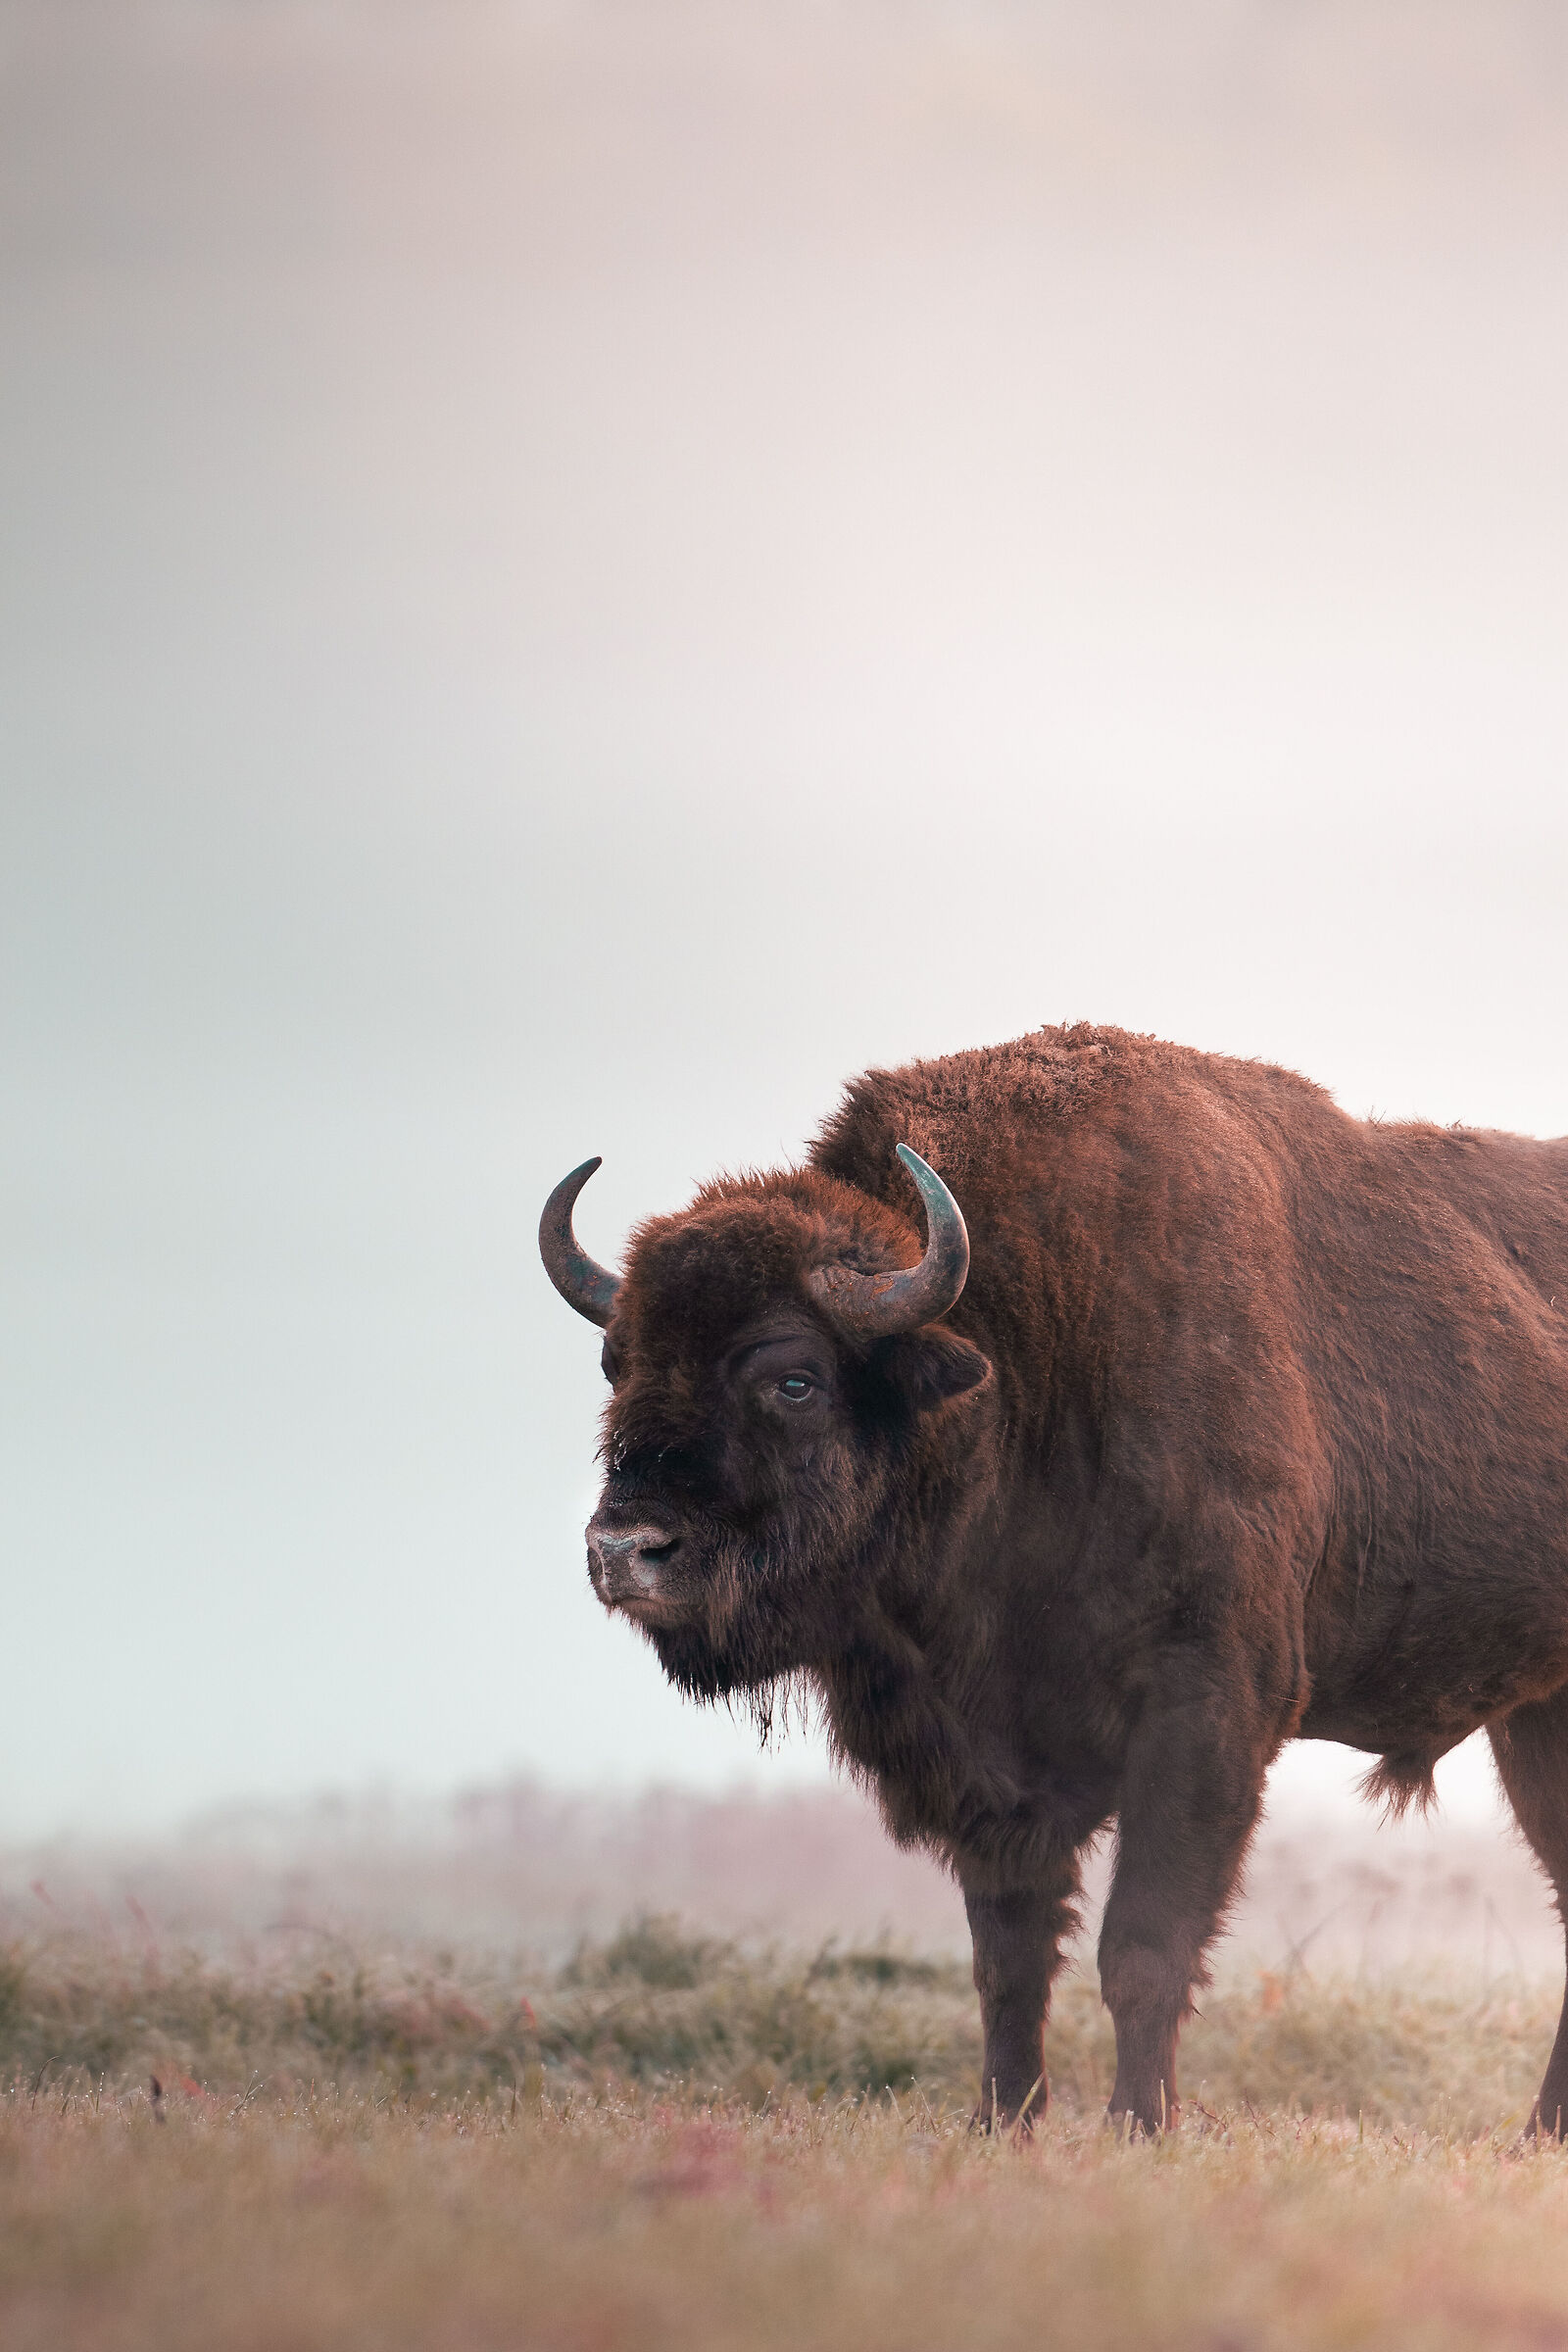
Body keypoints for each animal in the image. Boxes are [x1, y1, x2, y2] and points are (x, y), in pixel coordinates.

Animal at [540, 1023, 1568, 2134]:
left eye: (793, 1377)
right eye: (619, 1363)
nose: (626, 1550)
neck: (1028, 1363)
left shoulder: (1206, 1712)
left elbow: (1143, 1949)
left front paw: (1138, 2128)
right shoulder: (984, 1761)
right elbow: (1010, 1961)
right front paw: (1003, 2123)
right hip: (1536, 1722)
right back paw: (1534, 2139)